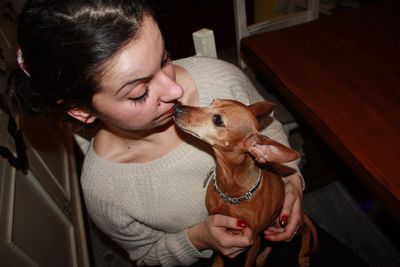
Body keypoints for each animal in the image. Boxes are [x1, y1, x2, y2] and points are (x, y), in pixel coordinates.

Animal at [173, 99, 318, 267]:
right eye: (212, 102)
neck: (230, 192)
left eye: (218, 120)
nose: (176, 107)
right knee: (272, 241)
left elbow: (248, 262)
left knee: (305, 231)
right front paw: (217, 263)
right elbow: (219, 253)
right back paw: (262, 257)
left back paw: (303, 255)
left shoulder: (253, 241)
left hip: (282, 225)